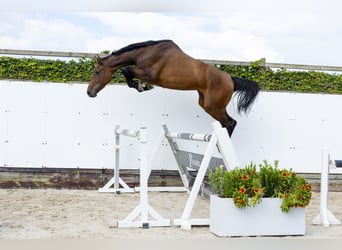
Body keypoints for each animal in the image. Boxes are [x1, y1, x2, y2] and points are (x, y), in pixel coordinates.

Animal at [87, 39, 260, 136]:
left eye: (97, 72)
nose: (89, 92)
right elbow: (128, 71)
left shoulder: (150, 74)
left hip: (214, 106)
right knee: (227, 123)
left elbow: (127, 70)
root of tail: (230, 79)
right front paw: (142, 86)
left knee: (230, 123)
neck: (145, 52)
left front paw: (142, 87)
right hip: (207, 104)